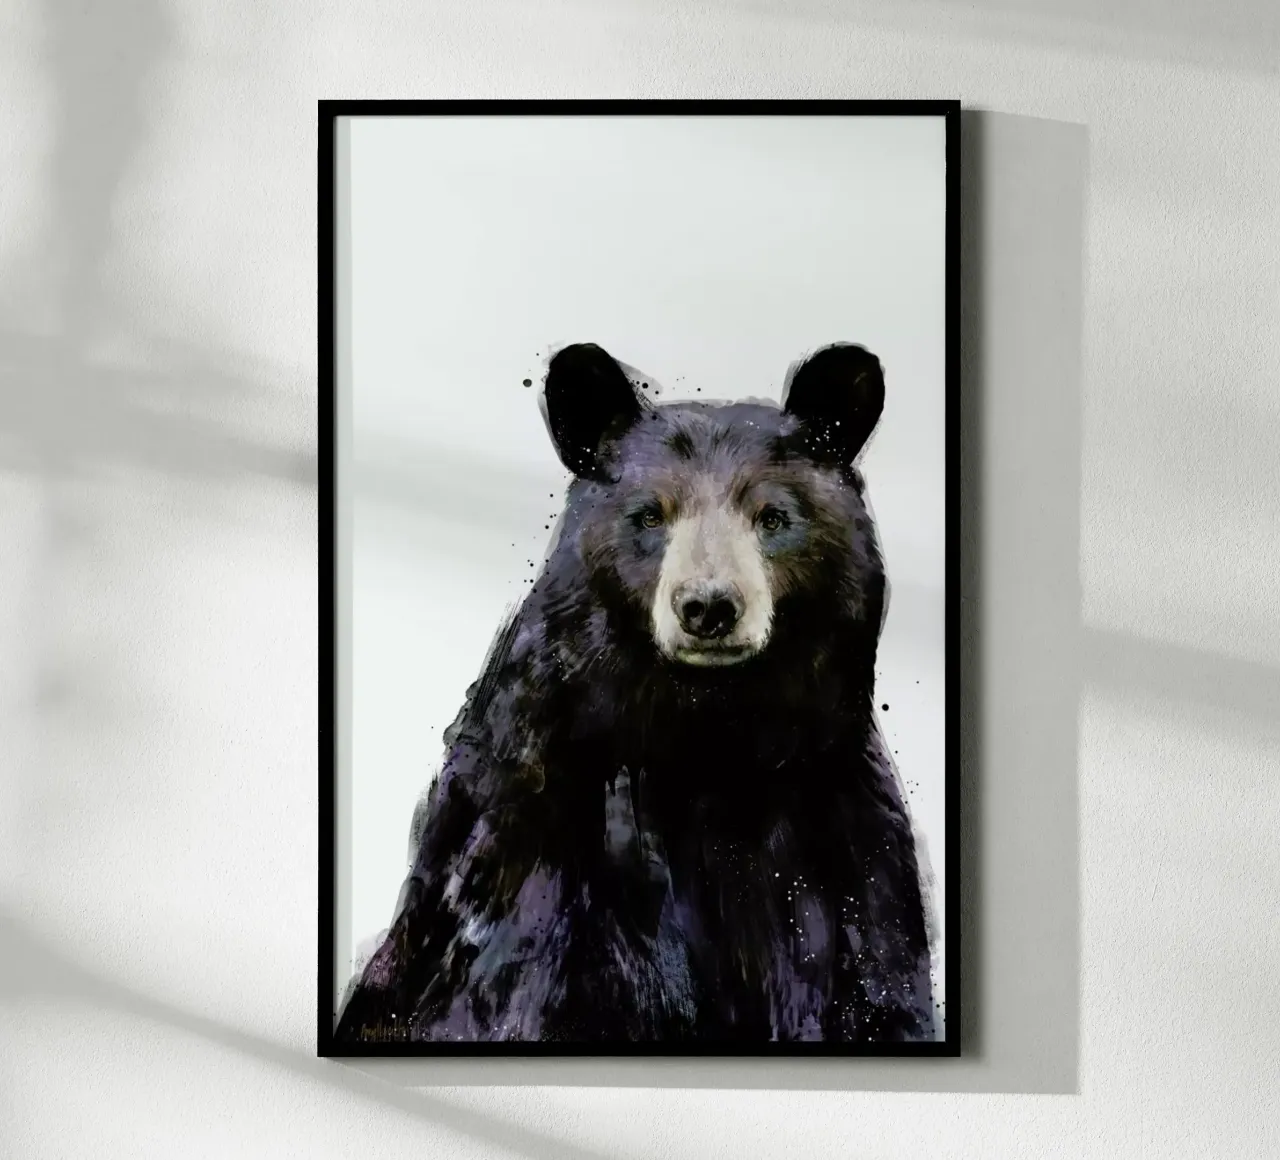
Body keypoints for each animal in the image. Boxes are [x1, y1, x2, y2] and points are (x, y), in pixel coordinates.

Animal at [334, 341, 936, 1045]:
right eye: (650, 515)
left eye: (773, 517)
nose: (709, 606)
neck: (708, 739)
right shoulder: (540, 843)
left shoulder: (845, 838)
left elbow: (877, 983)